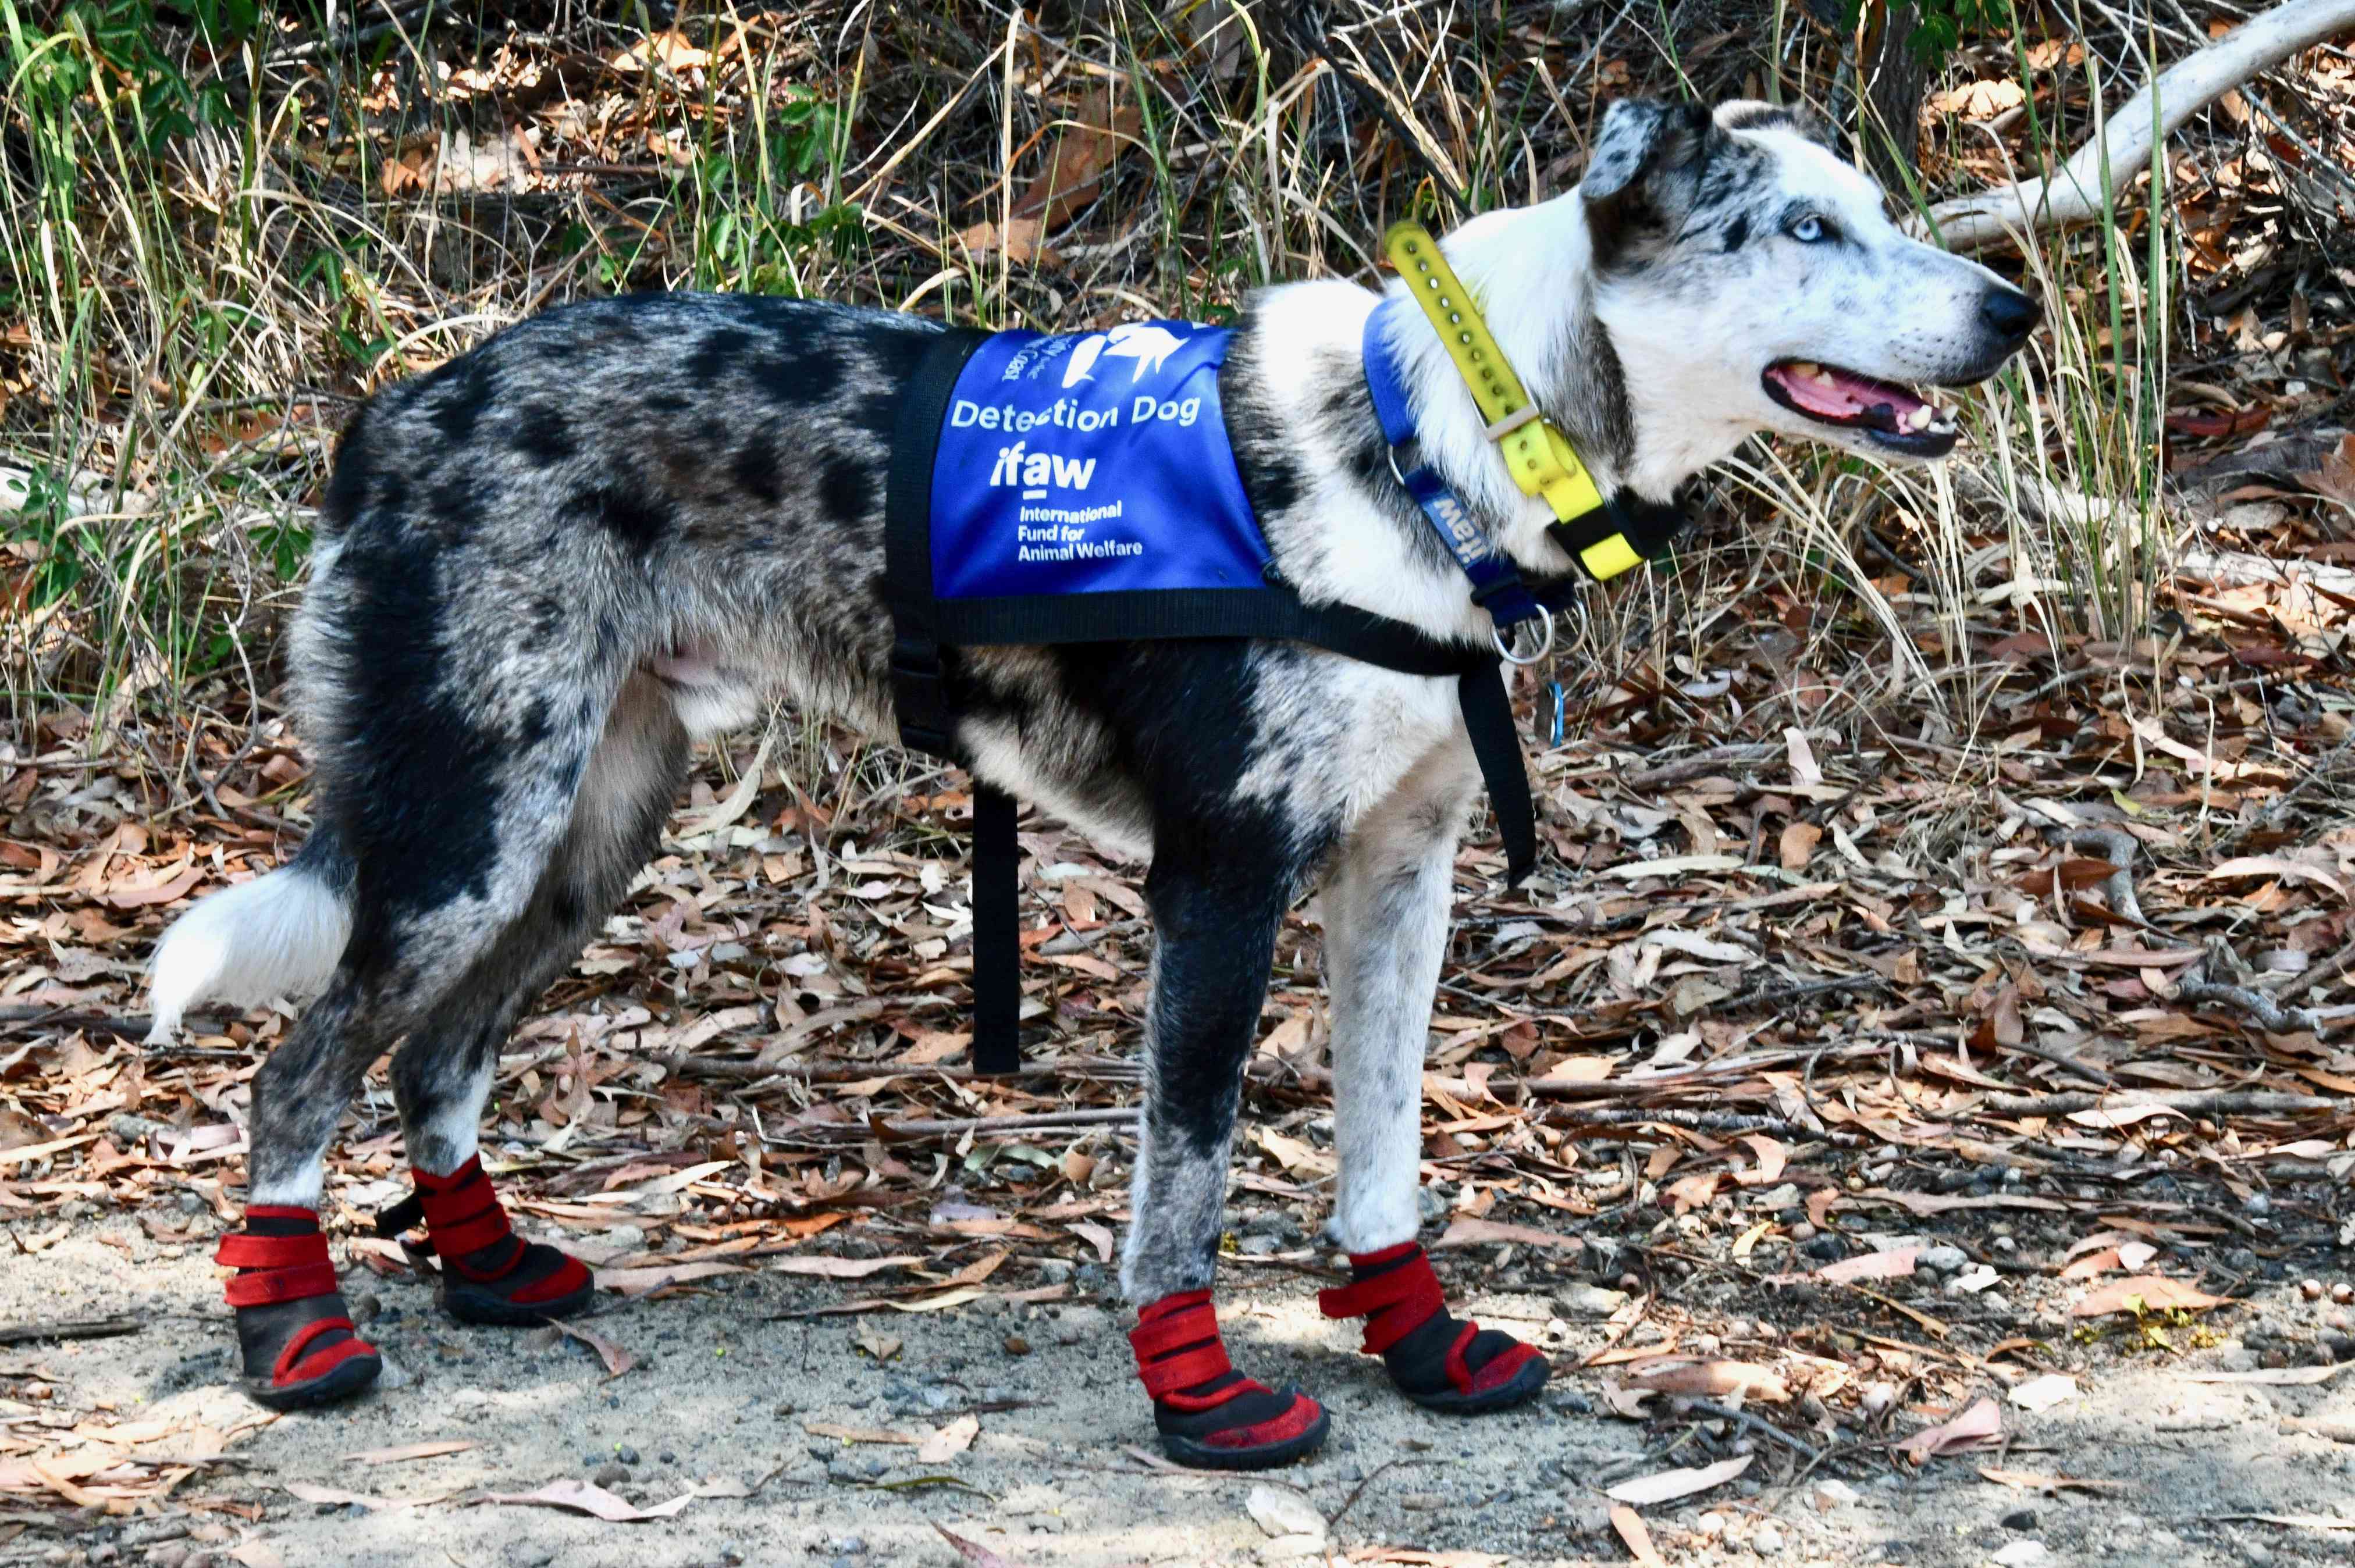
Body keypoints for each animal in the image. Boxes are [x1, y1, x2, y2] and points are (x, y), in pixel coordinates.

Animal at [147, 97, 2034, 1459]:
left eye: (1873, 208)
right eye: (1801, 228)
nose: (2014, 306)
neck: (1421, 444)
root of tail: (393, 411)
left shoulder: (1399, 874)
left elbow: (1380, 1146)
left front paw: (1415, 1336)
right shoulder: (1222, 877)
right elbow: (1183, 1176)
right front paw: (1199, 1397)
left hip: (582, 834)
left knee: (431, 1055)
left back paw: (483, 1271)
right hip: (475, 825)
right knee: (298, 1071)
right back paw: (290, 1331)